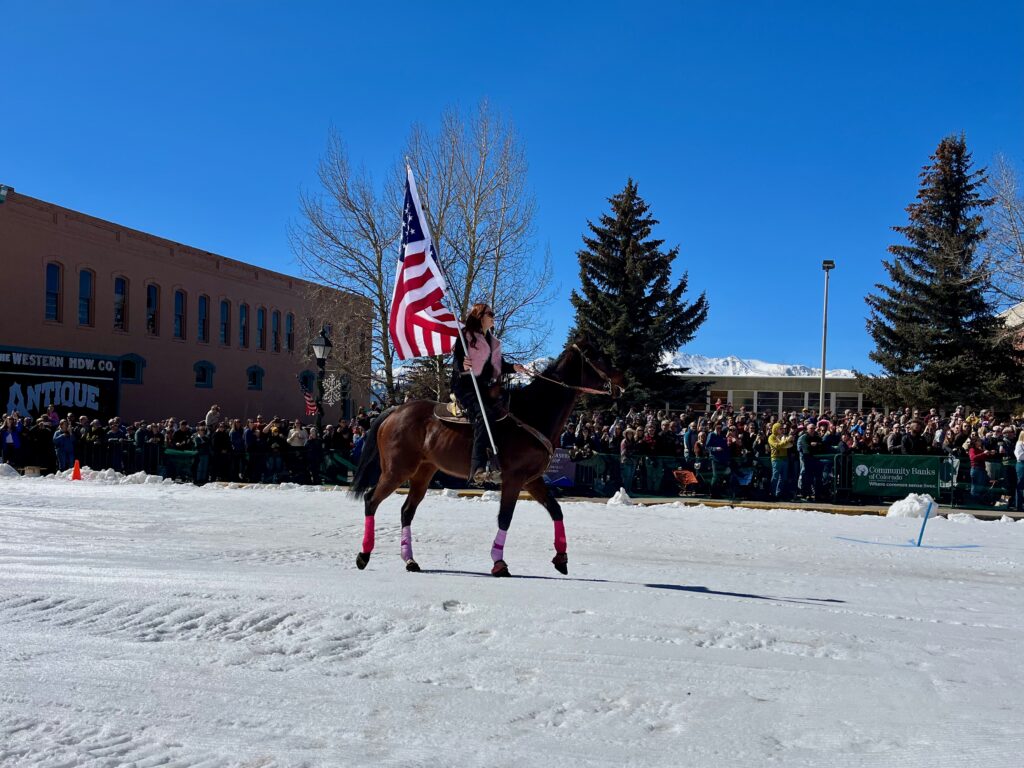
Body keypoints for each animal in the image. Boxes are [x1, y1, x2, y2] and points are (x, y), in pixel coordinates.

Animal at [350, 337, 622, 577]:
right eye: (598, 356)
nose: (621, 379)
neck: (533, 413)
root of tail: (396, 410)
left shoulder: (532, 480)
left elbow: (556, 511)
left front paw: (561, 559)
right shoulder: (514, 478)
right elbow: (505, 517)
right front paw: (499, 563)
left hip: (422, 472)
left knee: (407, 511)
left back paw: (410, 560)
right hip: (397, 470)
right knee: (371, 500)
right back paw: (364, 555)